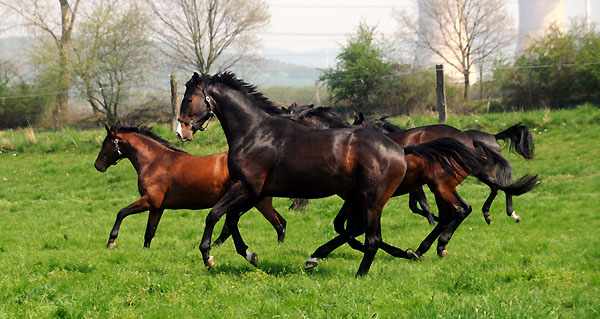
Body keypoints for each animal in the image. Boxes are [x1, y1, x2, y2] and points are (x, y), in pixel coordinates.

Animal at [95, 125, 288, 250]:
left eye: (106, 143)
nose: (97, 165)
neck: (155, 161)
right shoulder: (157, 207)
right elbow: (149, 231)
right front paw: (145, 250)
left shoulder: (149, 201)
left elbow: (121, 213)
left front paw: (111, 241)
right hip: (258, 203)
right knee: (279, 223)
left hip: (248, 202)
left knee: (268, 224)